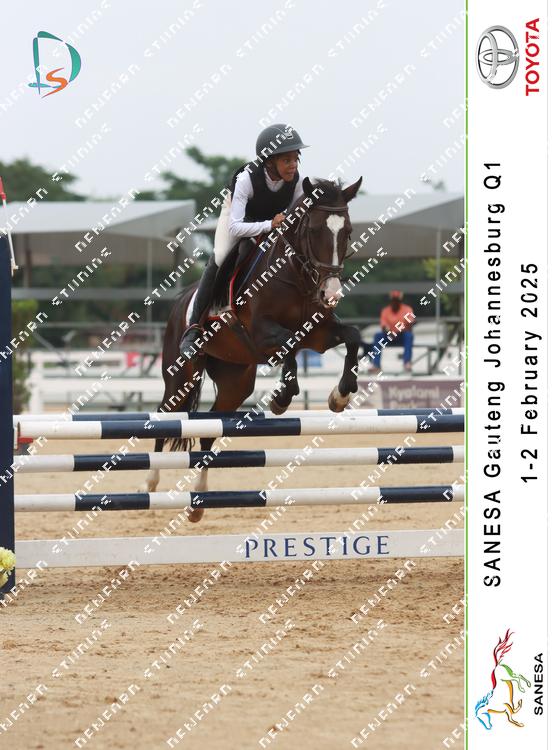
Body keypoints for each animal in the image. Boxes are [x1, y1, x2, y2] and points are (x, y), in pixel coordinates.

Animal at [142, 177, 363, 521]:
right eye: (314, 230)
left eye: (348, 231)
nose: (331, 293)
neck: (295, 276)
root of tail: (180, 303)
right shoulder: (261, 332)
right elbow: (288, 345)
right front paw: (282, 398)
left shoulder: (318, 335)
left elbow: (351, 337)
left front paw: (340, 395)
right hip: (180, 375)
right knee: (167, 415)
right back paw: (151, 481)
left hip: (236, 382)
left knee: (209, 428)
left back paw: (198, 502)